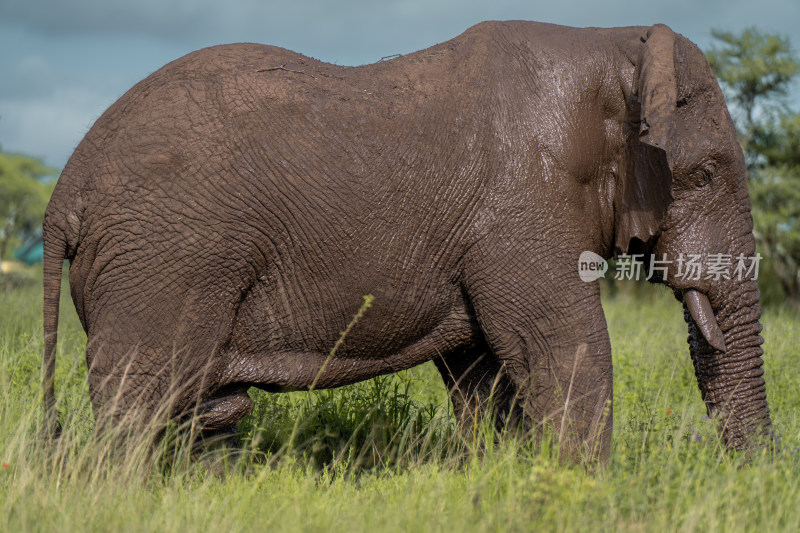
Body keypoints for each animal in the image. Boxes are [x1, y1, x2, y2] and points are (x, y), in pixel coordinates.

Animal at [40, 19, 772, 458]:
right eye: (706, 174)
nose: (749, 473)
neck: (617, 45)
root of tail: (64, 191)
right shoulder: (522, 204)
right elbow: (560, 343)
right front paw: (579, 488)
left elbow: (483, 367)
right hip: (166, 257)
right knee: (141, 397)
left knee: (199, 408)